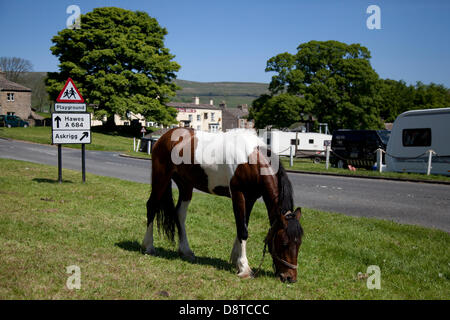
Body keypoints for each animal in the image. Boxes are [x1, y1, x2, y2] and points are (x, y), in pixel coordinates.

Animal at [142, 127, 302, 282]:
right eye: (284, 243)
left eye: (299, 243)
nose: (290, 278)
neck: (251, 160)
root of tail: (164, 137)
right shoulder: (238, 194)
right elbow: (243, 231)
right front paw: (244, 268)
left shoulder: (250, 198)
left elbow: (243, 225)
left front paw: (236, 259)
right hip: (161, 178)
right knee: (152, 206)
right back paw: (148, 246)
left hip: (185, 185)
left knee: (180, 214)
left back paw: (185, 251)